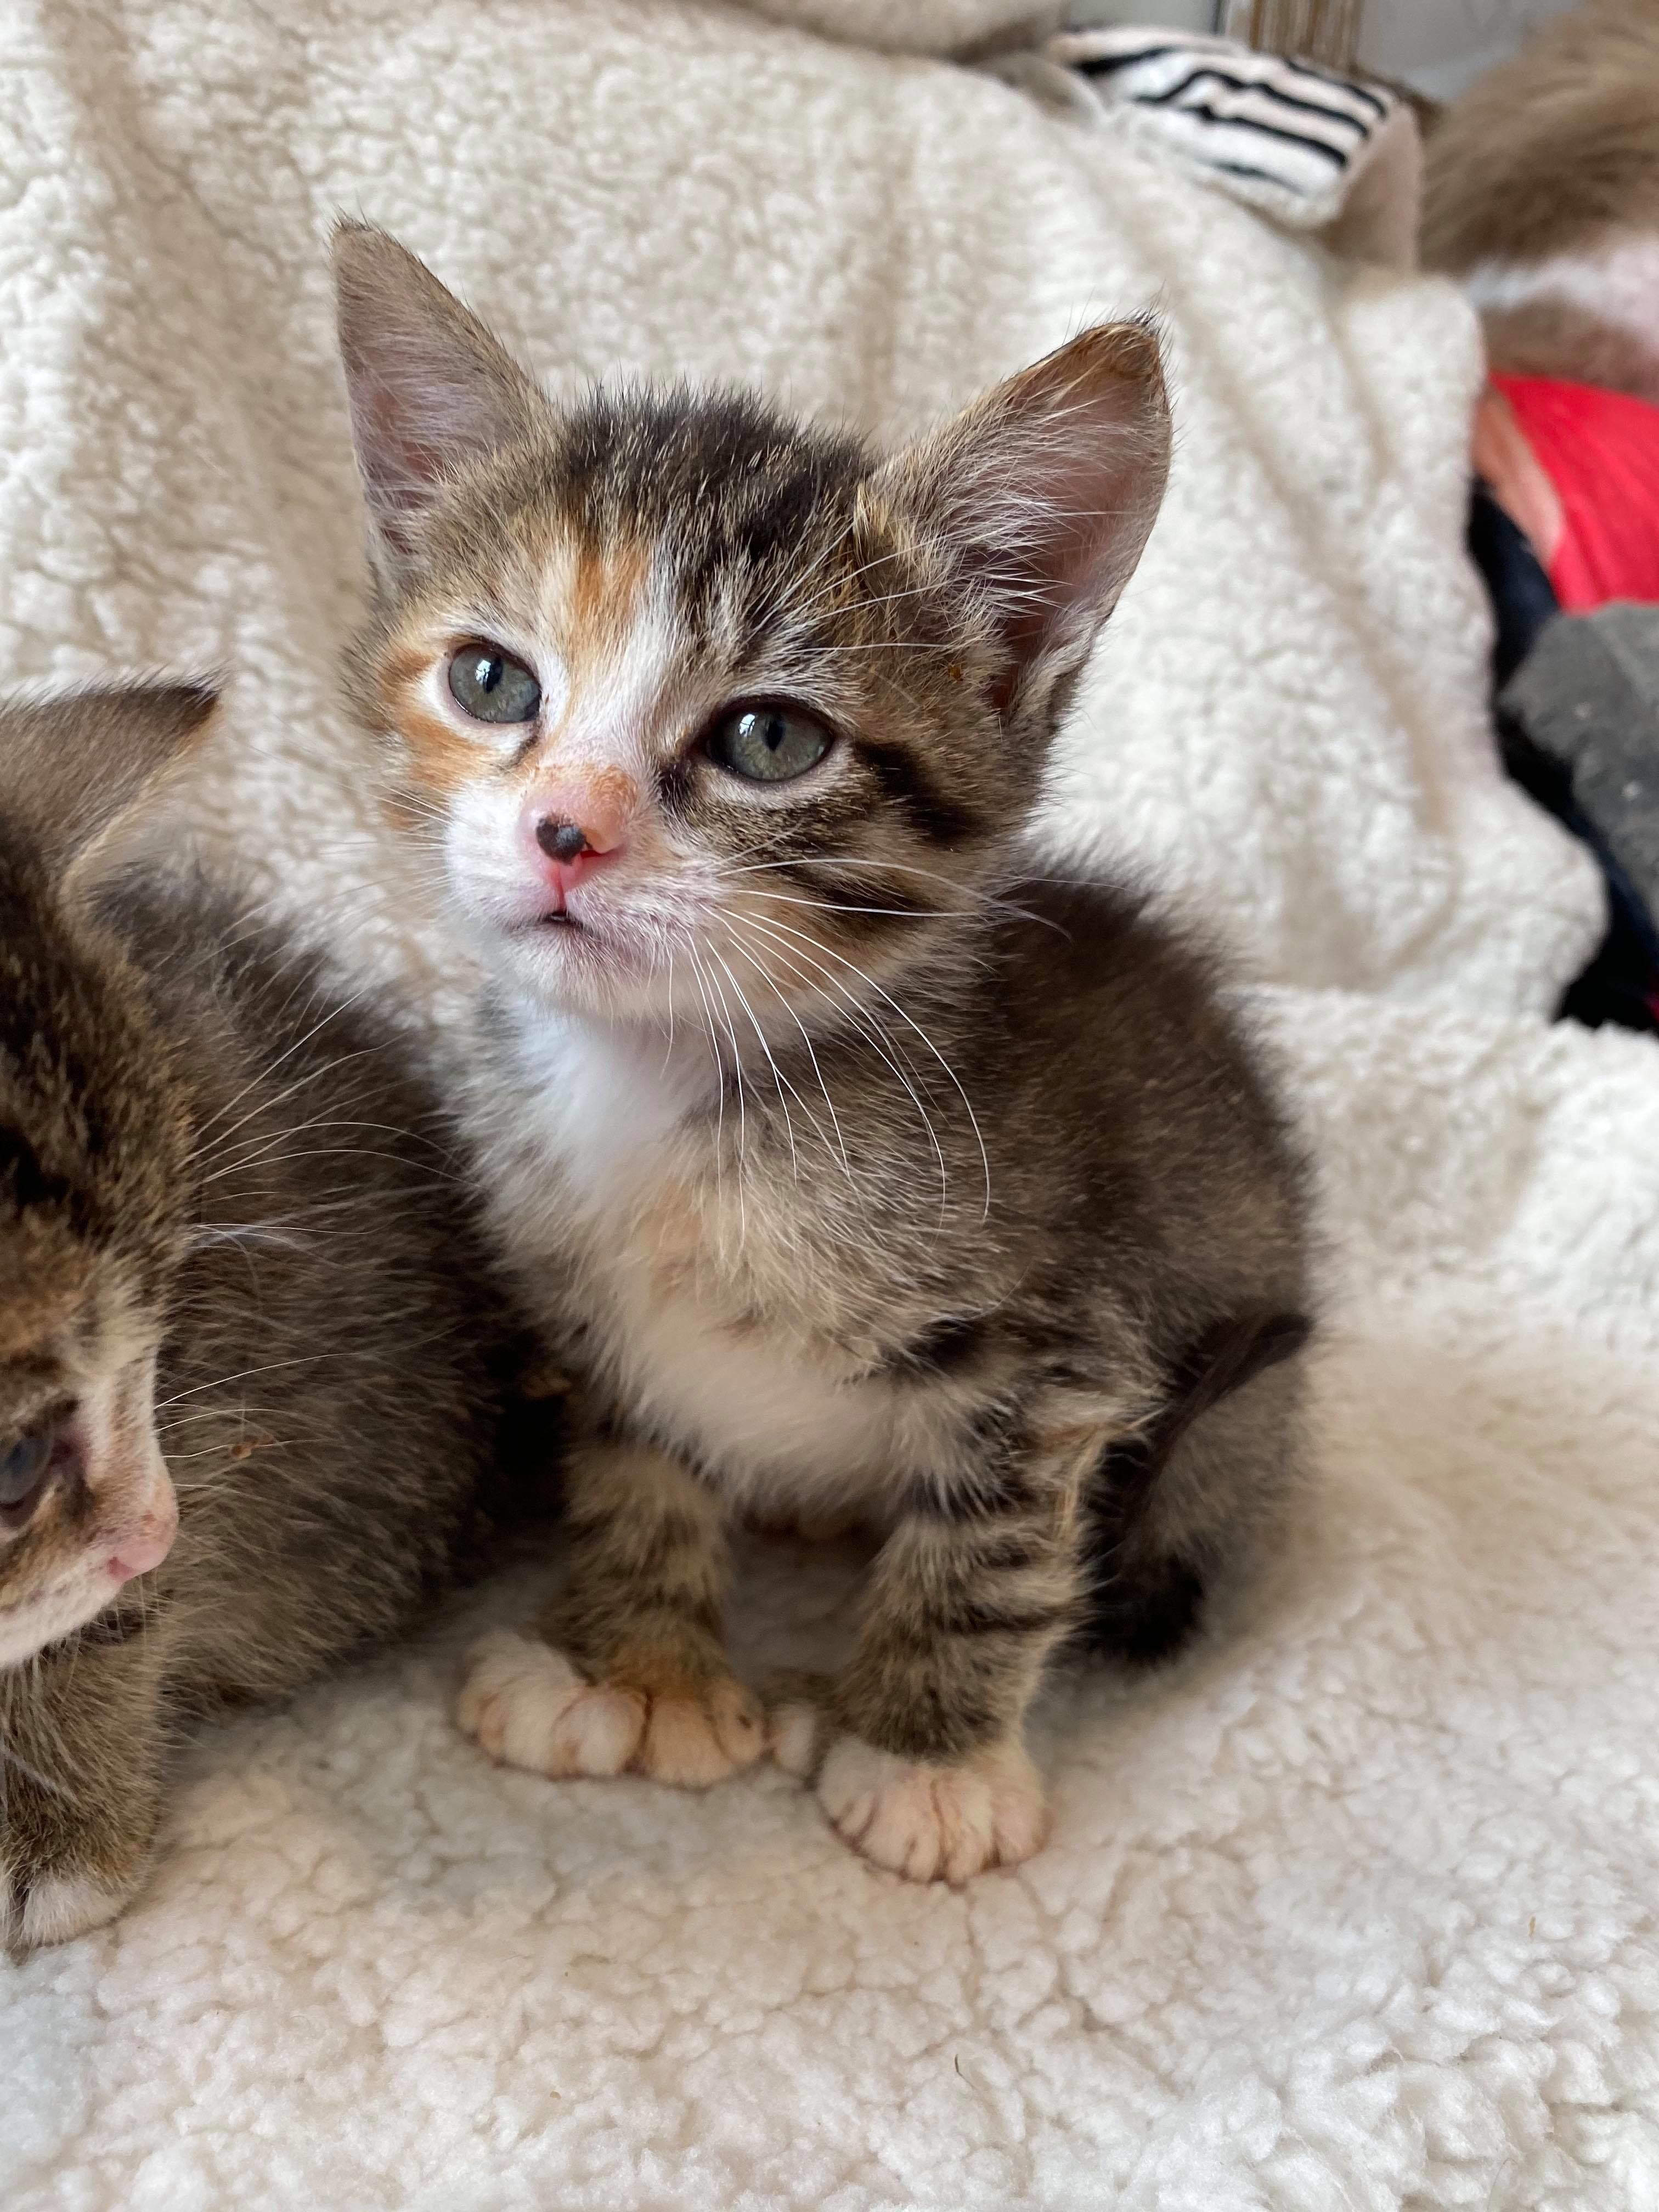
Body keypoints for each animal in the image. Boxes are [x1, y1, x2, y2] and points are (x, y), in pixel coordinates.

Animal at [338, 224, 1318, 1884]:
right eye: (492, 682)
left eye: (770, 742)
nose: (564, 830)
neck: (669, 1089)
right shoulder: (580, 1298)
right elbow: (632, 1470)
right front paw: (633, 1663)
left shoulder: (1067, 1344)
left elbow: (991, 1550)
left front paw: (924, 1750)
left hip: (1239, 1411)